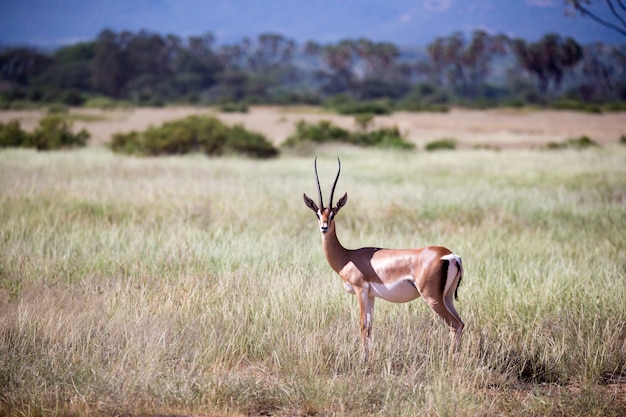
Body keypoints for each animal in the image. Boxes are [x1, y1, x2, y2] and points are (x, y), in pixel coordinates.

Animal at [302, 158, 464, 360]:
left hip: (432, 298)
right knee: (461, 323)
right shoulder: (371, 296)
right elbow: (370, 327)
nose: (324, 227)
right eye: (318, 214)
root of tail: (450, 255)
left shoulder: (360, 291)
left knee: (454, 325)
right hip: (447, 297)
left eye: (333, 214)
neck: (348, 257)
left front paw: (363, 360)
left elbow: (363, 326)